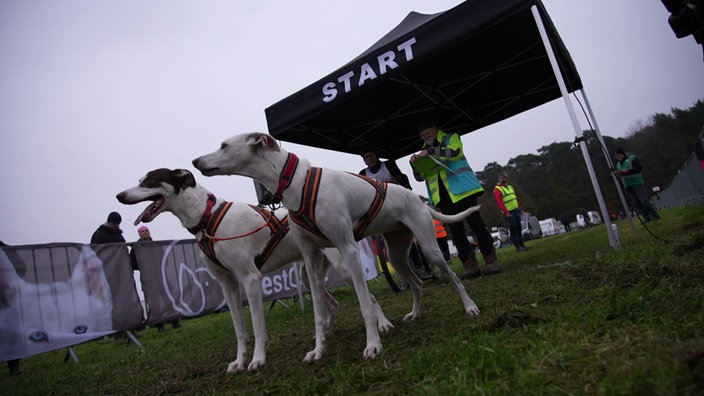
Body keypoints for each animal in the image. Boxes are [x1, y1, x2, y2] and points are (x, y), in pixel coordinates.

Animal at [115, 169, 390, 372]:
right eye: (140, 180)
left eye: (149, 181)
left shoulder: (250, 279)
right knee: (332, 305)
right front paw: (239, 361)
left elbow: (257, 328)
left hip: (344, 266)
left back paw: (383, 325)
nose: (119, 195)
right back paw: (324, 336)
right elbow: (240, 331)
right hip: (308, 274)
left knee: (371, 298)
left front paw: (257, 360)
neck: (207, 218)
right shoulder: (227, 285)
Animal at [190, 132, 482, 362]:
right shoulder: (310, 260)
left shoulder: (347, 248)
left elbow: (365, 304)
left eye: (224, 145)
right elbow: (319, 314)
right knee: (418, 283)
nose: (194, 162)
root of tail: (416, 197)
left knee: (453, 277)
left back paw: (470, 307)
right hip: (397, 255)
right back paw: (414, 314)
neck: (296, 183)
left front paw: (373, 345)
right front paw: (318, 350)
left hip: (430, 248)